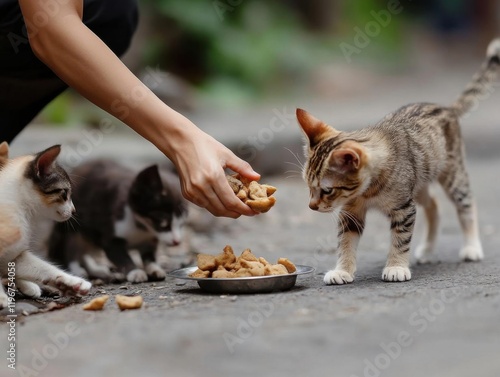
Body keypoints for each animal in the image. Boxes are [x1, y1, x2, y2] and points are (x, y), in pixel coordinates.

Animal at [0, 142, 92, 306]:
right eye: (65, 193)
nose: (74, 211)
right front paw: (1, 296)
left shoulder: (13, 255)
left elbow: (43, 266)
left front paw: (72, 281)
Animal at [47, 159, 188, 282]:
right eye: (163, 222)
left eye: (182, 223)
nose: (177, 242)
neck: (141, 227)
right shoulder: (110, 238)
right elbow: (123, 258)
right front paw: (135, 272)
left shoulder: (149, 240)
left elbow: (149, 257)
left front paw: (154, 269)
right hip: (72, 226)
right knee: (71, 248)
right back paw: (77, 270)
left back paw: (95, 269)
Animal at [296, 39, 500, 284]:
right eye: (308, 186)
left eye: (327, 190)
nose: (311, 206)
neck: (367, 192)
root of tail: (447, 108)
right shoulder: (351, 211)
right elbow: (345, 241)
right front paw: (342, 270)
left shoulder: (404, 209)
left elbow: (400, 240)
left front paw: (396, 266)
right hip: (419, 184)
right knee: (434, 205)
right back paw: (428, 249)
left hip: (452, 175)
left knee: (466, 205)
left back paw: (471, 247)